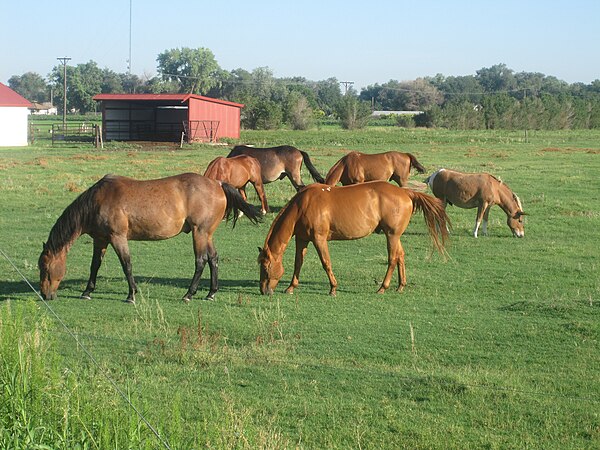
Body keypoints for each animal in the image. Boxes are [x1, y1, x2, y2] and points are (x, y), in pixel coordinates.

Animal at [38, 172, 260, 302]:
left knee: (201, 261)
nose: (45, 295)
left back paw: (189, 294)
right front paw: (87, 292)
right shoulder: (100, 240)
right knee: (213, 259)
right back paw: (211, 293)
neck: (97, 200)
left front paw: (131, 294)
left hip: (199, 233)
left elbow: (126, 265)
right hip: (207, 234)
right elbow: (95, 266)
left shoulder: (118, 238)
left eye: (46, 269)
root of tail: (218, 183)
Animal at [258, 181, 450, 298]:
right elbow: (298, 262)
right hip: (395, 236)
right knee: (400, 256)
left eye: (266, 267)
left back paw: (383, 287)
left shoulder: (319, 239)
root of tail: (405, 192)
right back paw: (400, 285)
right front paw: (291, 287)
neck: (303, 205)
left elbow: (326, 263)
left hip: (391, 236)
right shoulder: (302, 239)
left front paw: (333, 288)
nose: (263, 290)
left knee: (393, 258)